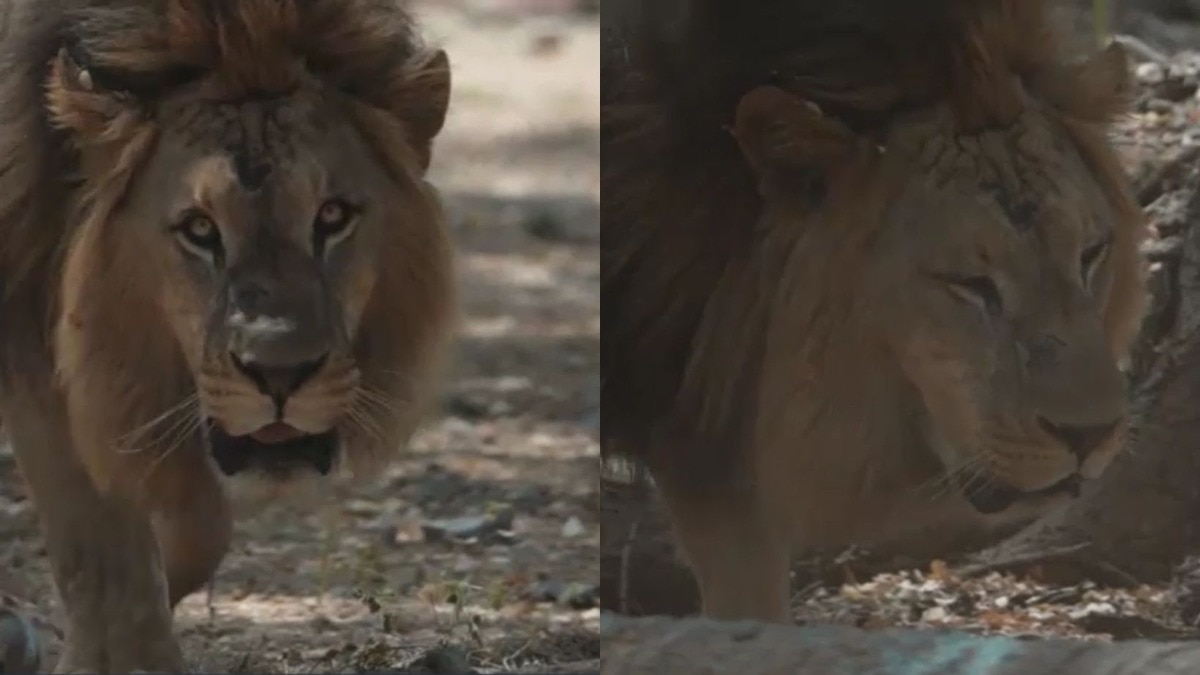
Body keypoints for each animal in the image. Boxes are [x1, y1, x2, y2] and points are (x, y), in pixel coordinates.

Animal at [0, 0, 454, 670]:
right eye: (198, 228)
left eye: (332, 216)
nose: (281, 374)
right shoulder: (30, 327)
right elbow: (101, 548)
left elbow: (195, 525)